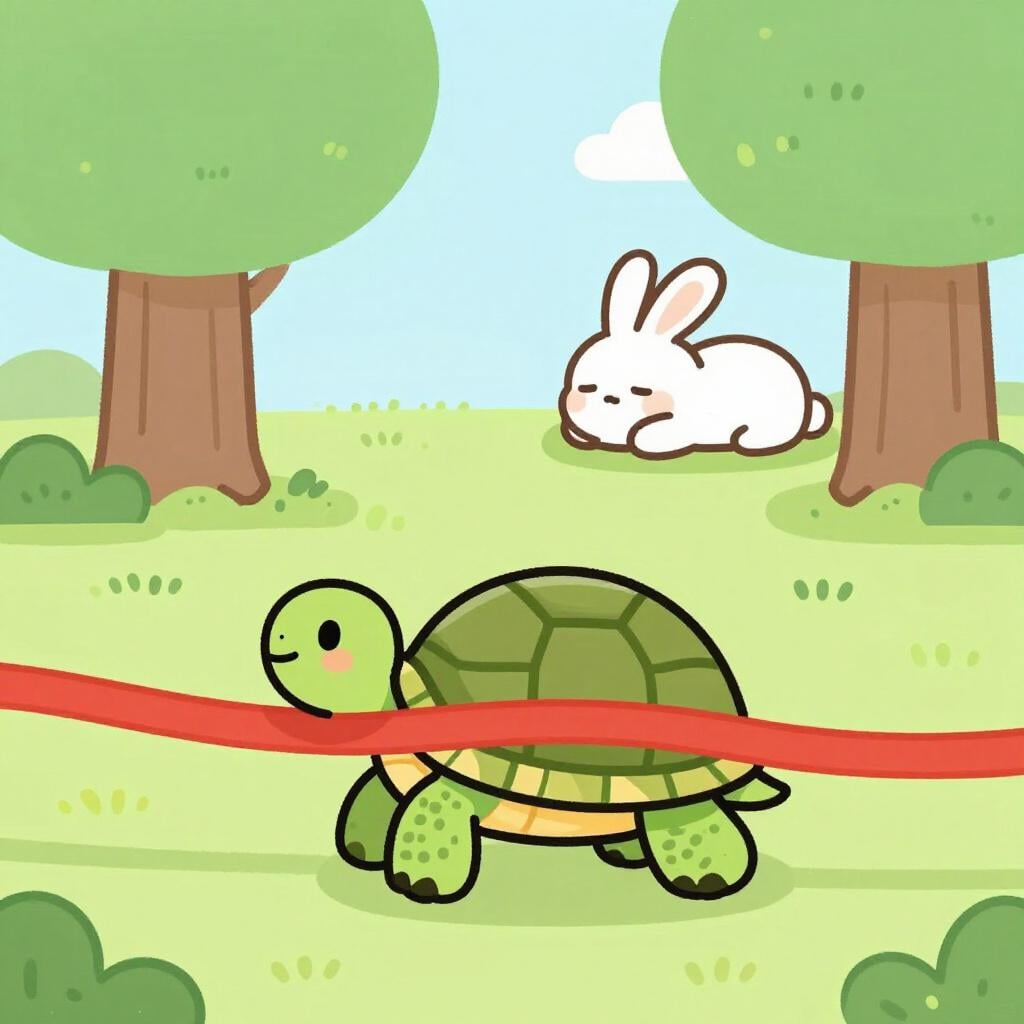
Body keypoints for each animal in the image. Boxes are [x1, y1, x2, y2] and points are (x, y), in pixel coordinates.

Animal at [558, 249, 833, 459]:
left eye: (641, 391)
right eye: (587, 388)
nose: (610, 398)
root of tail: (807, 401)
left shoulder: (686, 425)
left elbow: (648, 436)